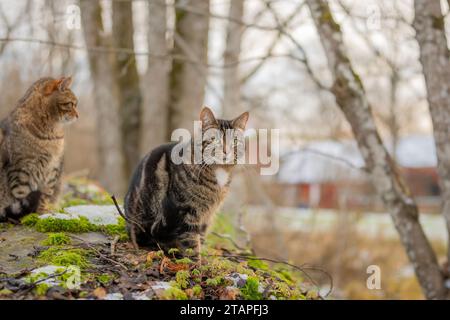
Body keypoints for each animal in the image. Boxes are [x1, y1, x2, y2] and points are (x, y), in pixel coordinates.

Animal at [0, 77, 78, 222]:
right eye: (70, 104)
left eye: (76, 104)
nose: (78, 115)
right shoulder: (21, 170)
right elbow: (21, 194)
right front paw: (27, 217)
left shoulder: (52, 170)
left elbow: (45, 196)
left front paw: (42, 213)